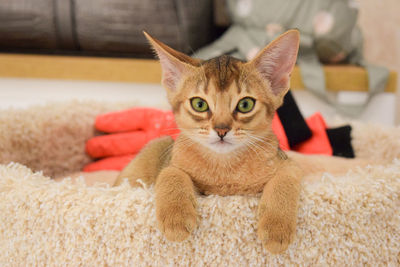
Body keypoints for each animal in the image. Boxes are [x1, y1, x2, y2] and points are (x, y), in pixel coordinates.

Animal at [114, 30, 364, 254]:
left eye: (245, 105)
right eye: (199, 104)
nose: (221, 129)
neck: (226, 170)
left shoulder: (289, 164)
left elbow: (284, 181)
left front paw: (276, 229)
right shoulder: (172, 162)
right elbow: (171, 173)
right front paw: (176, 219)